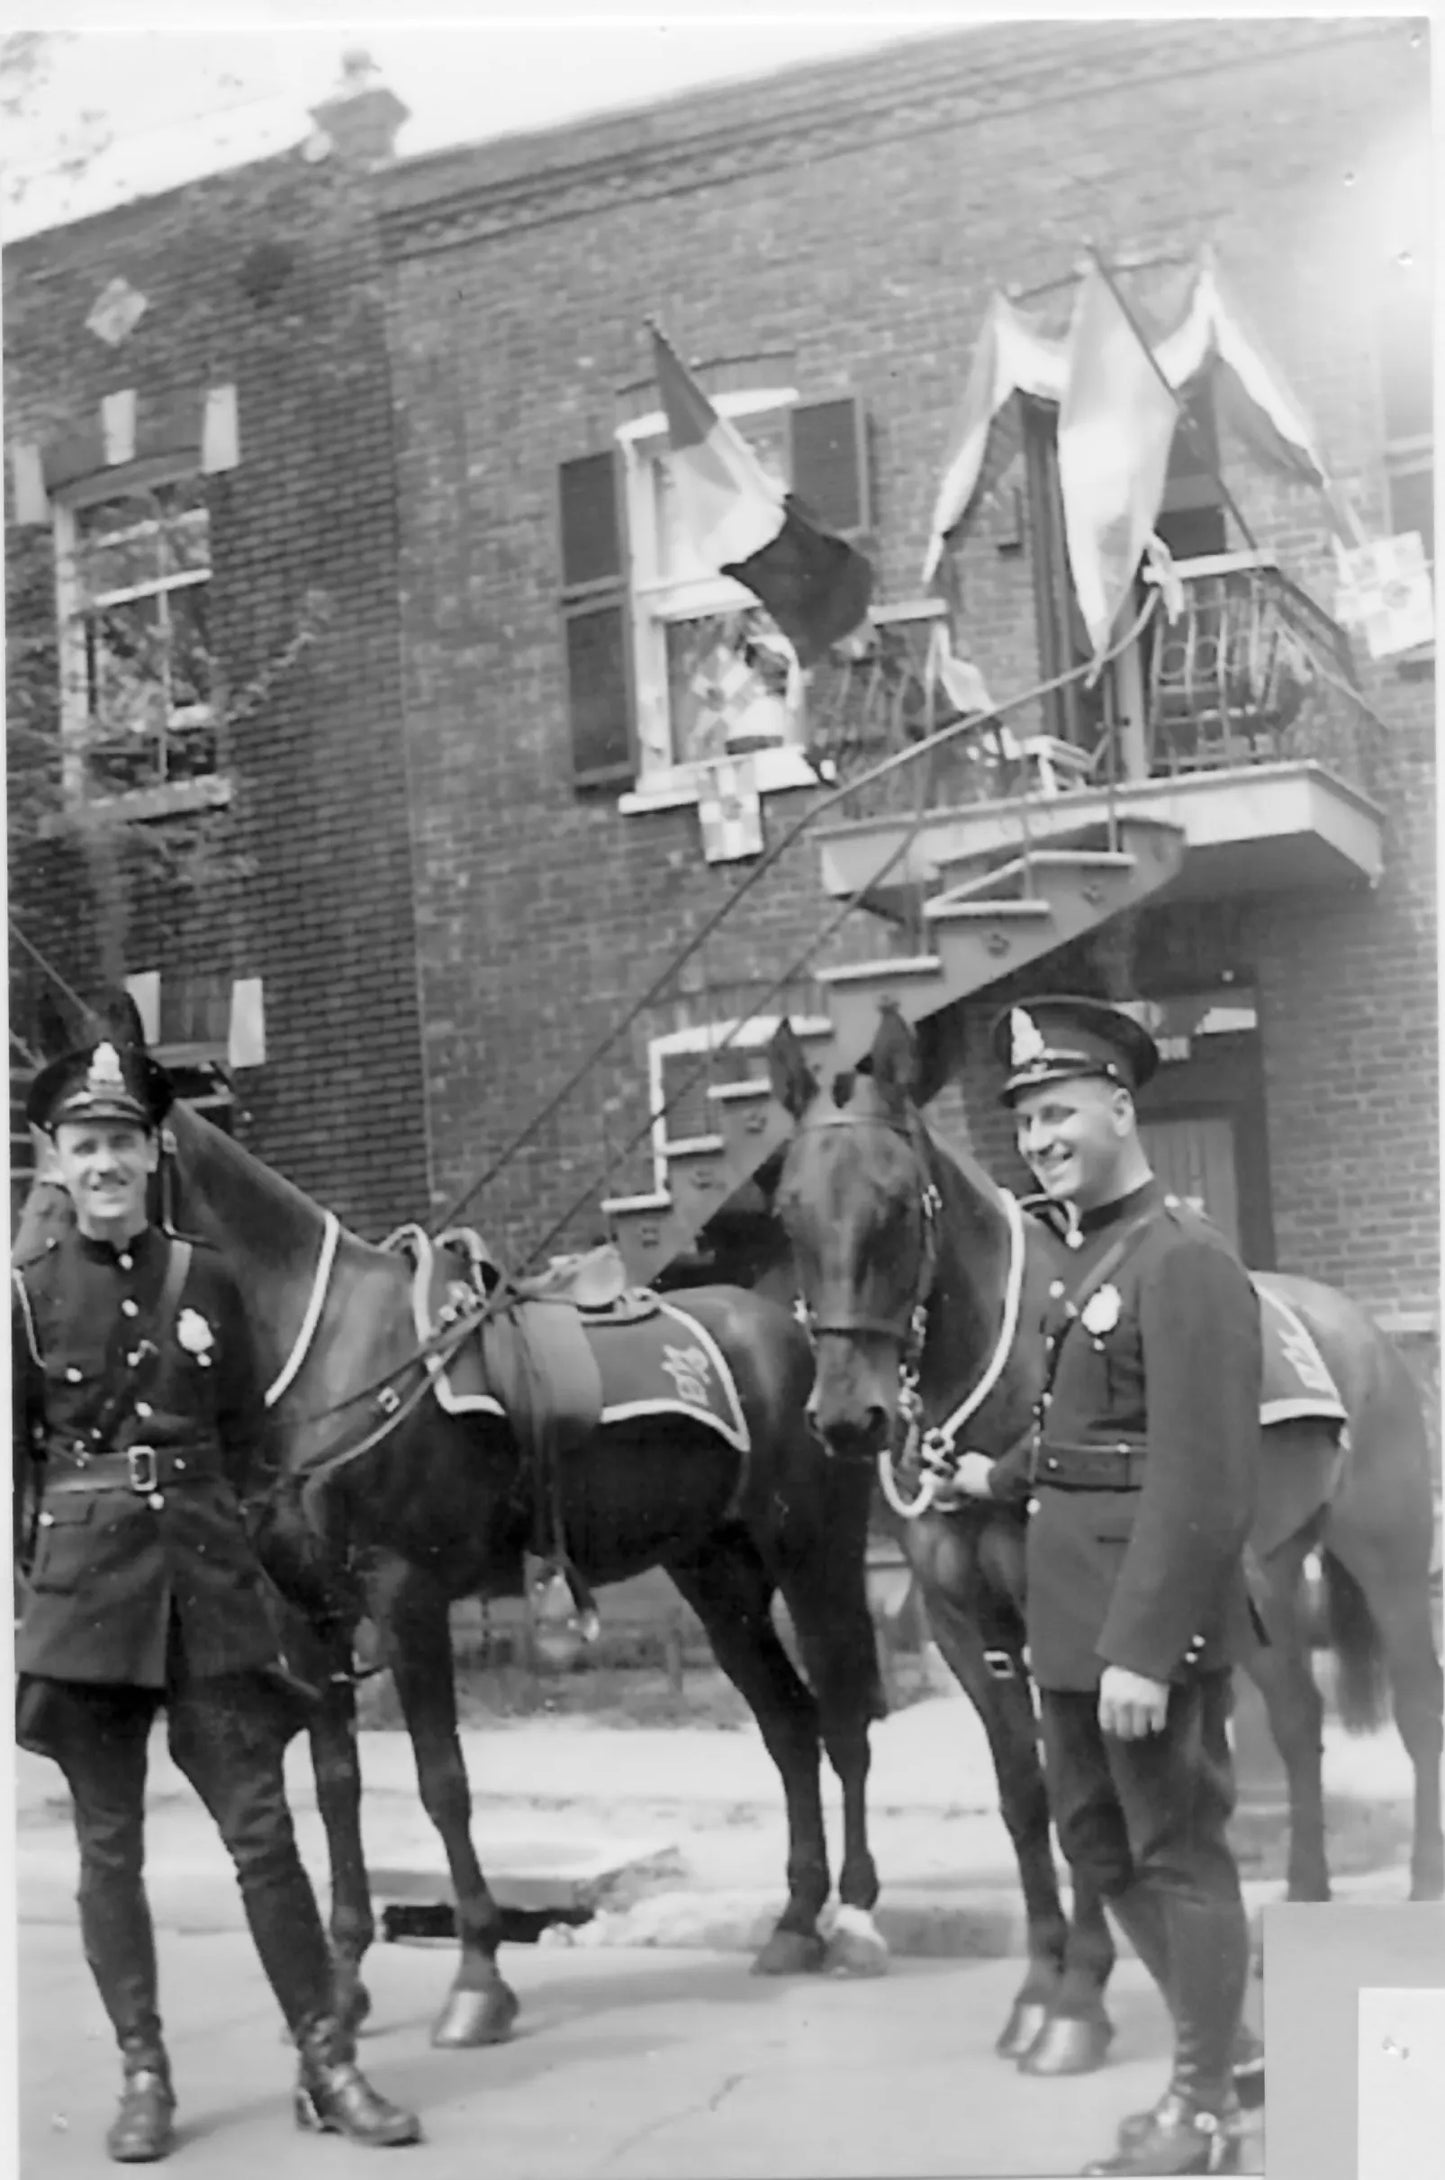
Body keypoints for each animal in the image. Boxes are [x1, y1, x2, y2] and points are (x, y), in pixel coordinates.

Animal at [14, 1098, 893, 2049]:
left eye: (85, 1173)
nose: (28, 1296)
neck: (330, 1354)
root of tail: (797, 1337)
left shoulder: (407, 1598)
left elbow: (443, 1784)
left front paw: (477, 1981)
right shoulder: (308, 1615)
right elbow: (337, 1786)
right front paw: (345, 1985)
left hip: (813, 1556)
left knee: (843, 1721)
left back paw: (854, 1922)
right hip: (717, 1576)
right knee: (789, 1726)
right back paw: (794, 1925)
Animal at [767, 1011, 1438, 2066]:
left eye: (894, 1204)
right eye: (788, 1212)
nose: (846, 1418)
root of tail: (1360, 1330)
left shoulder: (1063, 1625)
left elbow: (1090, 1800)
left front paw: (1077, 1999)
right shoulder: (965, 1630)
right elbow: (1025, 1796)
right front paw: (1037, 1985)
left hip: (1390, 1566)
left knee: (1415, 1715)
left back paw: (1414, 1889)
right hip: (1258, 1582)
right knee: (1296, 1724)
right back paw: (1295, 1904)